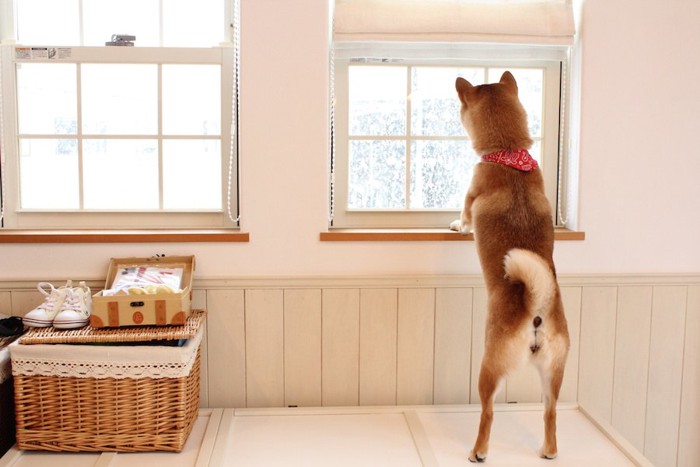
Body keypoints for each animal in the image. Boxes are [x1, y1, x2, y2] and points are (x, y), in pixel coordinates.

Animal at [452, 71, 572, 462]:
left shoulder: (470, 194)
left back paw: (478, 451)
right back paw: (548, 451)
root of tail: (536, 312)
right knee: (551, 414)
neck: (508, 153)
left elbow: (464, 215)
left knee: (488, 413)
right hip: (553, 374)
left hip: (489, 366)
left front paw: (456, 226)